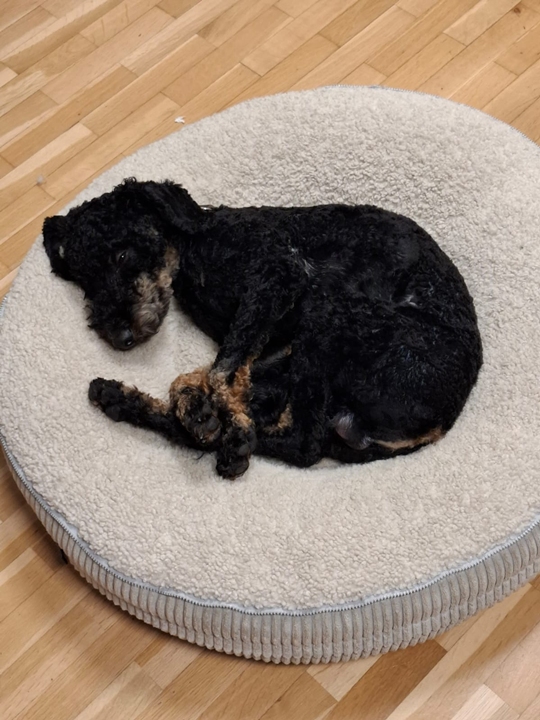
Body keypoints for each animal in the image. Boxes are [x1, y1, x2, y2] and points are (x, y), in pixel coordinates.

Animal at [43, 178, 482, 479]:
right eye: (85, 280)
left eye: (121, 255)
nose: (120, 337)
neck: (198, 242)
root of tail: (442, 423)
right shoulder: (264, 341)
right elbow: (214, 374)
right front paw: (201, 409)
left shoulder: (276, 278)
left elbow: (219, 372)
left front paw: (222, 420)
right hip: (308, 361)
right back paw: (120, 399)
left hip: (331, 317)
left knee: (303, 444)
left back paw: (226, 434)